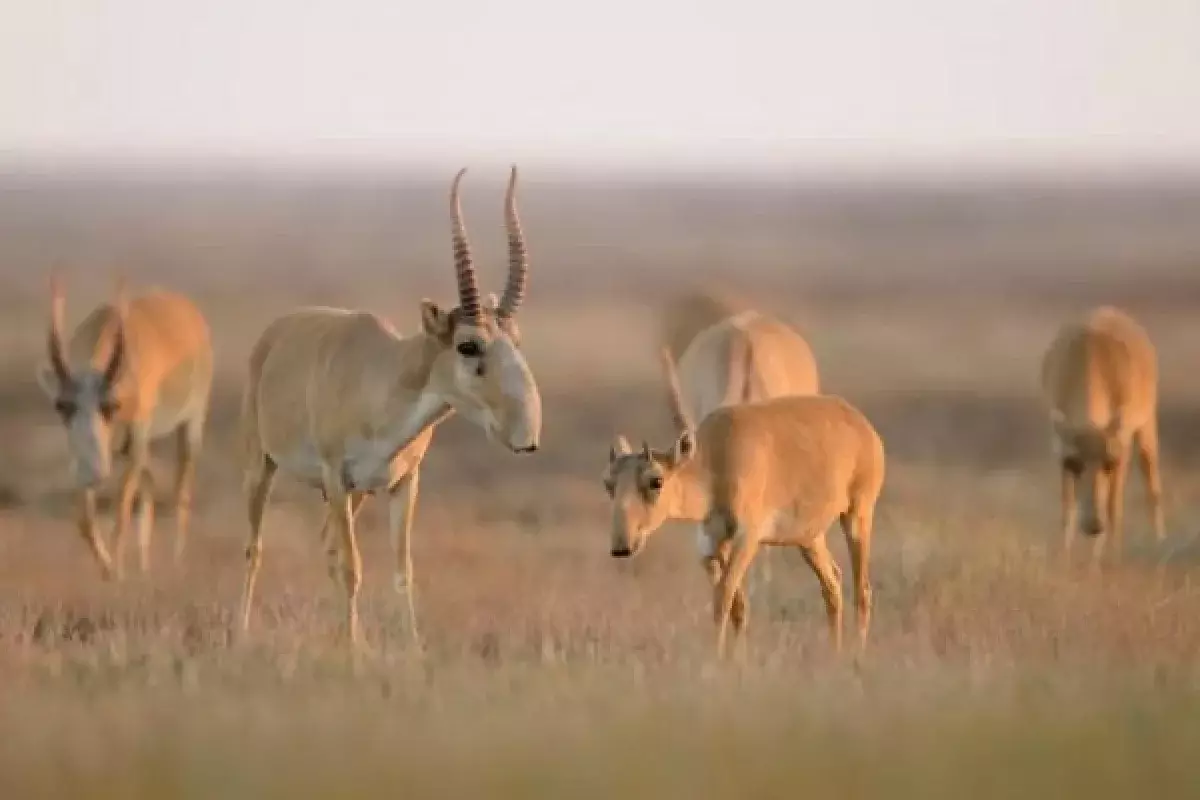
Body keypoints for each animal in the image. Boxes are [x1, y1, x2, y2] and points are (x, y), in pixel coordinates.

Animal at [35, 272, 213, 578]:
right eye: (62, 405)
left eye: (111, 406)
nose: (92, 472)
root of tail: (190, 312)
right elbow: (85, 520)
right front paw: (109, 570)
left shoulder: (136, 441)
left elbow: (121, 512)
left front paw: (117, 573)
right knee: (150, 486)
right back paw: (145, 568)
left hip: (188, 427)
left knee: (181, 492)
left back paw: (176, 565)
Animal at [237, 165, 544, 647]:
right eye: (468, 344)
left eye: (516, 338)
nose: (526, 434)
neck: (382, 380)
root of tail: (275, 333)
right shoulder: (336, 477)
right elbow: (352, 568)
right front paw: (353, 654)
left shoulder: (402, 484)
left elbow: (402, 573)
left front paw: (408, 652)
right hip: (263, 467)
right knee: (255, 548)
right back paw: (240, 635)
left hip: (356, 494)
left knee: (326, 546)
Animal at [604, 347, 878, 657]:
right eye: (608, 483)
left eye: (656, 480)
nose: (622, 547)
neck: (715, 459)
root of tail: (862, 425)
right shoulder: (711, 547)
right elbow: (737, 606)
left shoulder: (747, 539)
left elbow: (723, 598)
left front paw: (716, 658)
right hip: (809, 538)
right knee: (833, 583)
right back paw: (834, 653)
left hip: (857, 515)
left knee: (862, 589)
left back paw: (857, 654)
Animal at [1041, 303, 1161, 566]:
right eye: (1075, 464)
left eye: (1109, 463)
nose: (1094, 525)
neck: (1090, 359)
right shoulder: (1061, 451)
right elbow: (1068, 508)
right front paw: (1063, 560)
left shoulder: (1121, 449)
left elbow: (1114, 507)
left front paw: (1112, 559)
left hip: (1147, 428)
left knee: (1152, 486)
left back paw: (1159, 547)